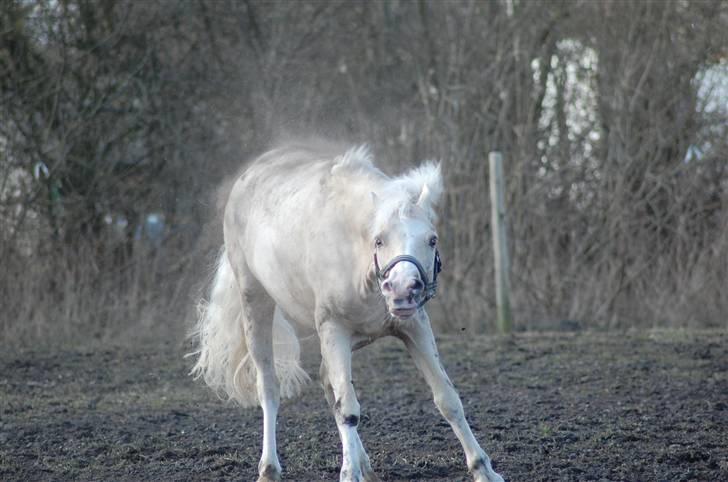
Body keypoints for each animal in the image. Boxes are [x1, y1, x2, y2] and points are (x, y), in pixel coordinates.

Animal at [190, 142, 504, 482]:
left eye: (431, 239)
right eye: (379, 240)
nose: (403, 289)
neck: (357, 257)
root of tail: (246, 179)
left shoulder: (414, 327)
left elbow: (448, 400)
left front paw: (484, 469)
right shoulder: (334, 328)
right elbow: (349, 410)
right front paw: (348, 472)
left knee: (328, 384)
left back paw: (365, 466)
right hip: (256, 304)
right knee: (270, 387)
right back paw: (270, 468)